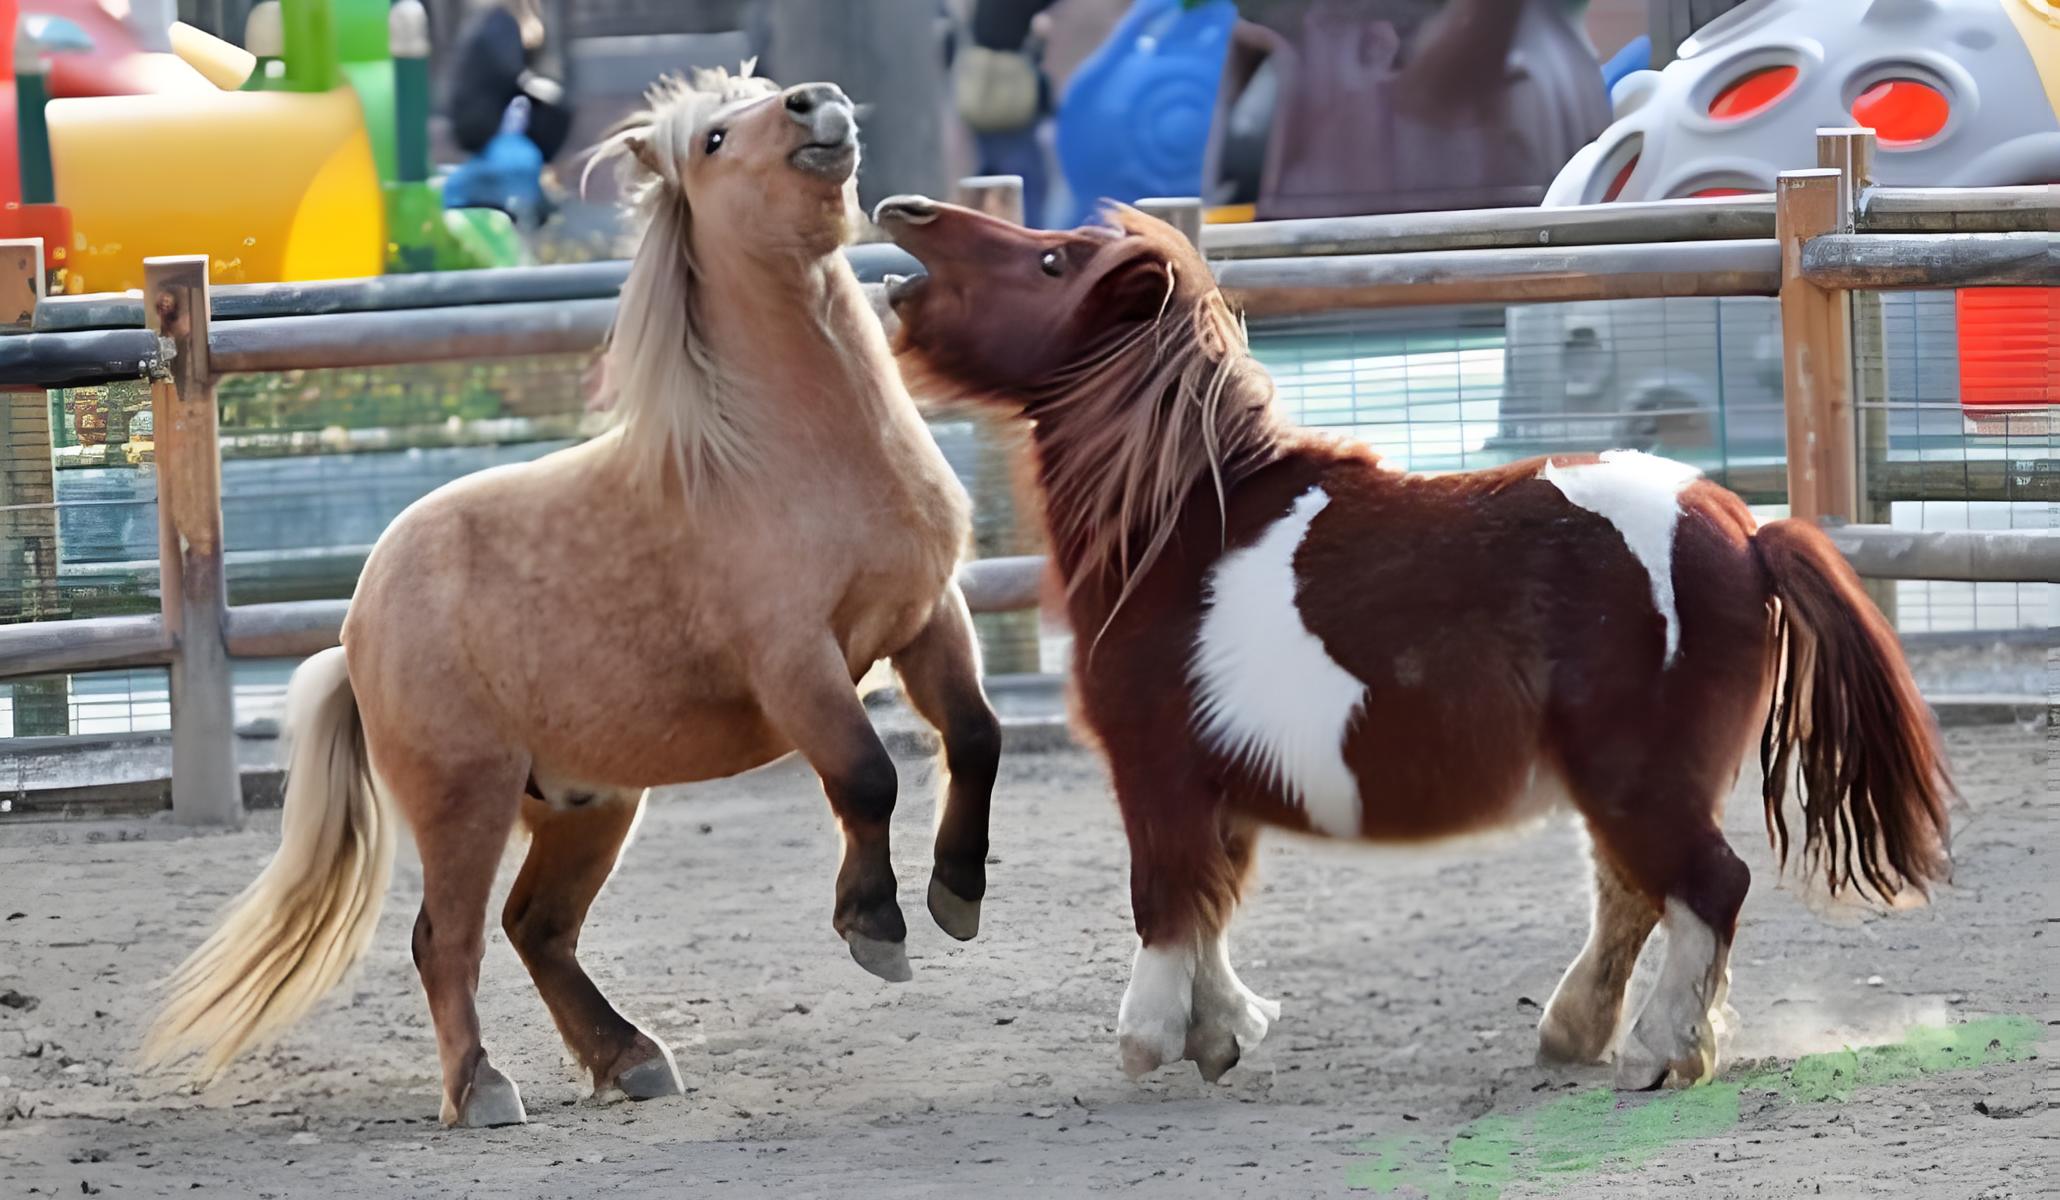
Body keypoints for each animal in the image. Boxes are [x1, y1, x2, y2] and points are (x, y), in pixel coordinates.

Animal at [142, 69, 1002, 1129]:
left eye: (763, 98)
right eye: (715, 138)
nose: (815, 104)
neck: (789, 453)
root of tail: (354, 629)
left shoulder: (927, 620)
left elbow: (975, 739)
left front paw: (957, 892)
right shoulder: (798, 665)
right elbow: (866, 775)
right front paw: (875, 925)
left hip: (588, 805)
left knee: (536, 929)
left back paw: (629, 1058)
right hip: (464, 798)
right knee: (448, 938)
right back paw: (481, 1089)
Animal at [872, 197, 1954, 1091]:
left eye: (1051, 259)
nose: (904, 212)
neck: (1176, 531)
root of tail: (1744, 531)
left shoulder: (1157, 774)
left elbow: (1167, 901)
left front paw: (1151, 1041)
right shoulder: (1217, 794)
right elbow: (1212, 907)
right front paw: (1222, 1033)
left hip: (1635, 776)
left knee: (1702, 889)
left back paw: (1660, 1052)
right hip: (1624, 781)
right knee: (1634, 894)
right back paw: (1578, 1033)